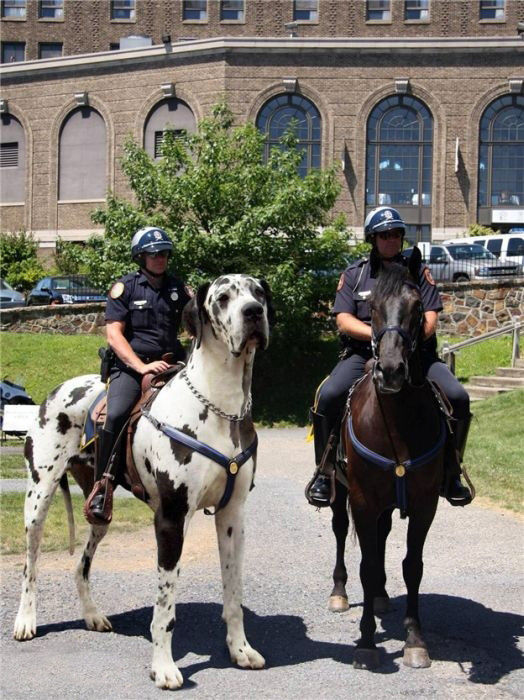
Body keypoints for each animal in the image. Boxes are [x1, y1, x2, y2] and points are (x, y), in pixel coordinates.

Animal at [12, 274, 274, 688]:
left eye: (258, 293)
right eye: (222, 297)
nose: (252, 313)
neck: (220, 406)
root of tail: (56, 390)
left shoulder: (232, 517)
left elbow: (233, 592)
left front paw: (240, 650)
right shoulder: (170, 519)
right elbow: (165, 608)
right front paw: (164, 667)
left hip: (99, 512)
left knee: (81, 566)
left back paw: (93, 615)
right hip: (38, 500)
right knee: (29, 565)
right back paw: (25, 620)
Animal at [330, 246, 444, 668]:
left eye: (417, 307)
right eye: (373, 306)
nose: (392, 371)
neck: (395, 423)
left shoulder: (425, 504)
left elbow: (412, 567)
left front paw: (414, 639)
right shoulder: (362, 499)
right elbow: (364, 564)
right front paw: (365, 642)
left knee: (381, 538)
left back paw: (380, 597)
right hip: (340, 492)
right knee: (341, 532)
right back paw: (340, 593)